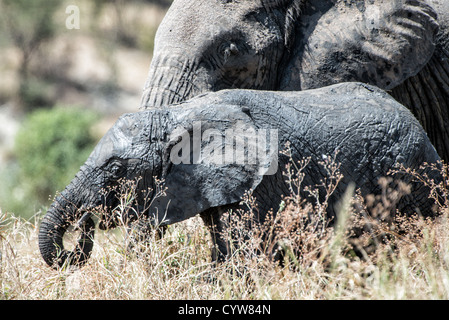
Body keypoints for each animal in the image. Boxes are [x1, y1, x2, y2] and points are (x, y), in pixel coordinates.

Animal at [38, 82, 440, 268]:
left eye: (116, 169)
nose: (85, 221)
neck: (176, 115)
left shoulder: (260, 185)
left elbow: (241, 260)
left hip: (411, 176)